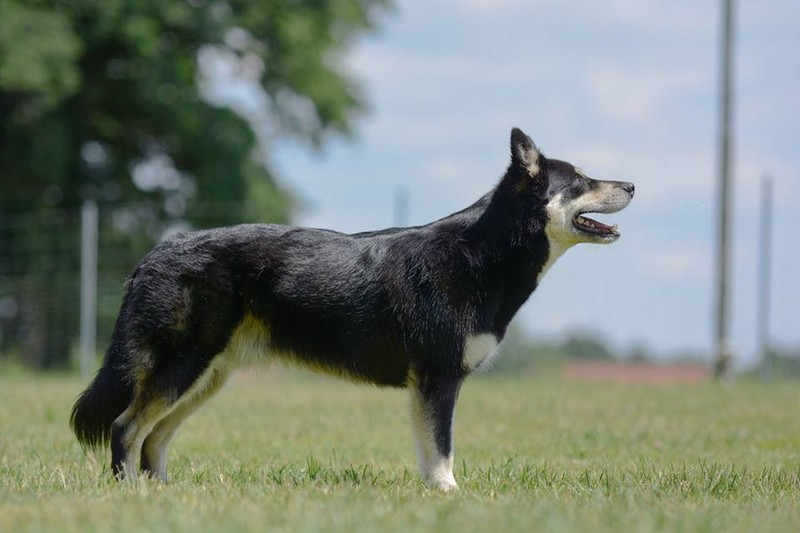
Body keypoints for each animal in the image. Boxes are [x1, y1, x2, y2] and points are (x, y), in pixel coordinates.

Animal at [71, 128, 634, 490]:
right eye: (581, 181)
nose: (631, 184)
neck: (484, 254)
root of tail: (155, 254)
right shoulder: (438, 378)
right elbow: (442, 448)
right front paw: (450, 495)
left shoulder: (428, 385)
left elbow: (430, 450)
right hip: (185, 365)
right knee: (126, 428)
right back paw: (130, 495)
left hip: (206, 376)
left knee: (154, 438)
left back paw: (165, 496)